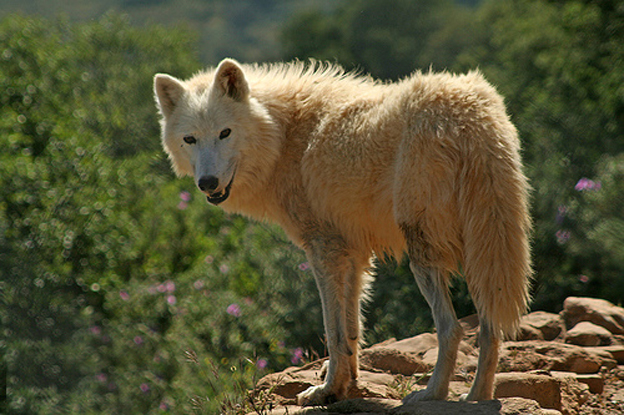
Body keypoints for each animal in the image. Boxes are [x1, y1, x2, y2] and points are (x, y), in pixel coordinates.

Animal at [155, 58, 532, 406]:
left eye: (225, 133)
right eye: (190, 139)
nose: (207, 183)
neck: (284, 137)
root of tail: (467, 115)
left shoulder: (324, 249)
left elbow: (333, 331)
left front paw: (326, 391)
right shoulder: (354, 251)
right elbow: (352, 328)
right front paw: (347, 383)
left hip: (425, 255)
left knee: (451, 329)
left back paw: (431, 394)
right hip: (484, 250)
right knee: (490, 328)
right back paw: (478, 396)